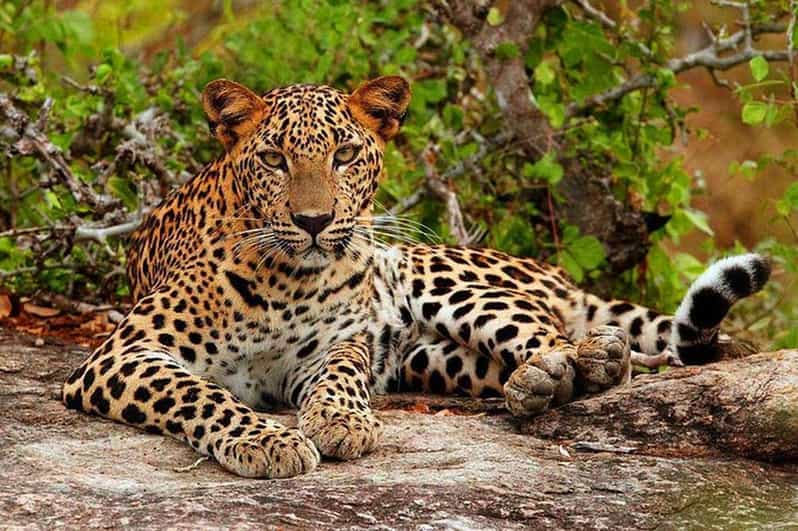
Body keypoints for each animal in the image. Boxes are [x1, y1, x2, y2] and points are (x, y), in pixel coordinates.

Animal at [62, 75, 771, 478]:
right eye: (273, 159)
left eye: (345, 154)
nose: (315, 221)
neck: (287, 280)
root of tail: (551, 271)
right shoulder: (121, 354)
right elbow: (200, 393)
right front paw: (266, 440)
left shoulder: (332, 345)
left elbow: (341, 375)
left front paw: (339, 422)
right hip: (431, 359)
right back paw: (538, 383)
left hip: (437, 276)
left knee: (560, 334)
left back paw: (579, 361)